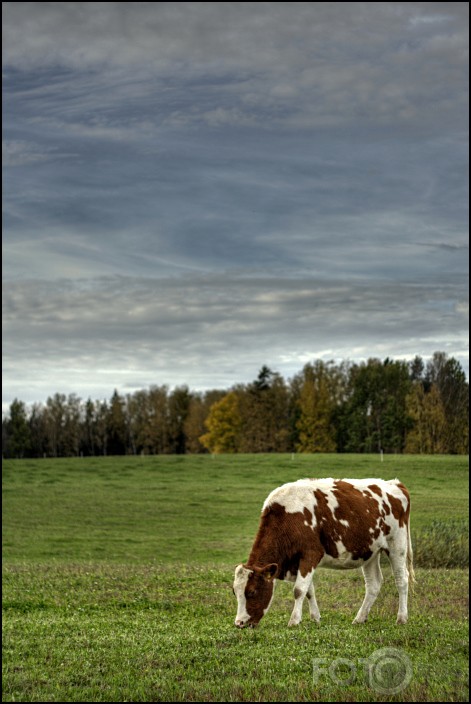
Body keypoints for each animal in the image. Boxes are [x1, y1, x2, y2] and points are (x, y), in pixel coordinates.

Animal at [234, 478, 414, 628]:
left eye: (252, 592)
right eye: (235, 592)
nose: (239, 623)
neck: (287, 517)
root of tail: (395, 484)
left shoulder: (311, 554)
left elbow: (299, 590)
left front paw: (294, 620)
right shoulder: (297, 562)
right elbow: (309, 591)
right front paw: (315, 617)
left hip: (397, 544)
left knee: (401, 579)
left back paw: (402, 618)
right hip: (369, 552)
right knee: (373, 584)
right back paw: (359, 618)